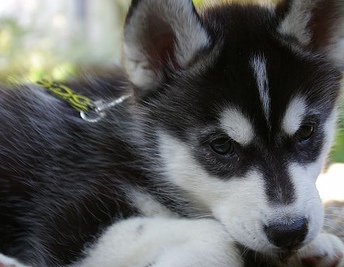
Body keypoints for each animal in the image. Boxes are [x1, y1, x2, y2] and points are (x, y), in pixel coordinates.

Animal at [0, 0, 344, 266]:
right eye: (221, 145)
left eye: (306, 131)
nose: (290, 231)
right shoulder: (66, 223)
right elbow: (219, 238)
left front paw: (315, 244)